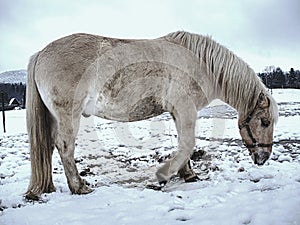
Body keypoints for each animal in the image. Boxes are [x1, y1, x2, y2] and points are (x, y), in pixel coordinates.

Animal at [24, 30, 278, 200]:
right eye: (265, 121)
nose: (263, 158)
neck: (201, 63)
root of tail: (41, 53)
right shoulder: (185, 109)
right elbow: (187, 144)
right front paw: (164, 176)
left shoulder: (179, 112)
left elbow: (184, 144)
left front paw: (188, 174)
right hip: (69, 115)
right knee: (64, 146)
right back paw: (79, 187)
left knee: (49, 146)